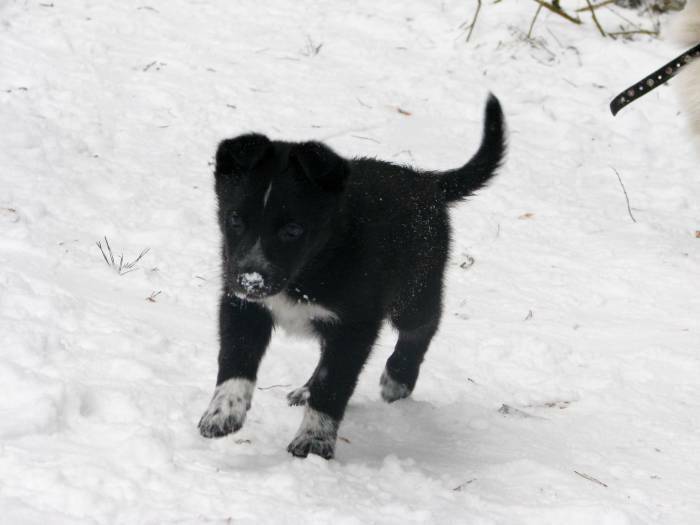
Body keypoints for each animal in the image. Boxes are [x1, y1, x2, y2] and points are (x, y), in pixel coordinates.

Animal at [200, 95, 506, 458]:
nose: (252, 280)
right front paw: (223, 411)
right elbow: (236, 359)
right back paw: (305, 389)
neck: (311, 268)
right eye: (234, 219)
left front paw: (314, 441)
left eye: (293, 230)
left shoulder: (355, 324)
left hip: (413, 289)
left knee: (424, 325)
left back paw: (398, 377)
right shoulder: (242, 305)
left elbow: (334, 384)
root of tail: (427, 183)